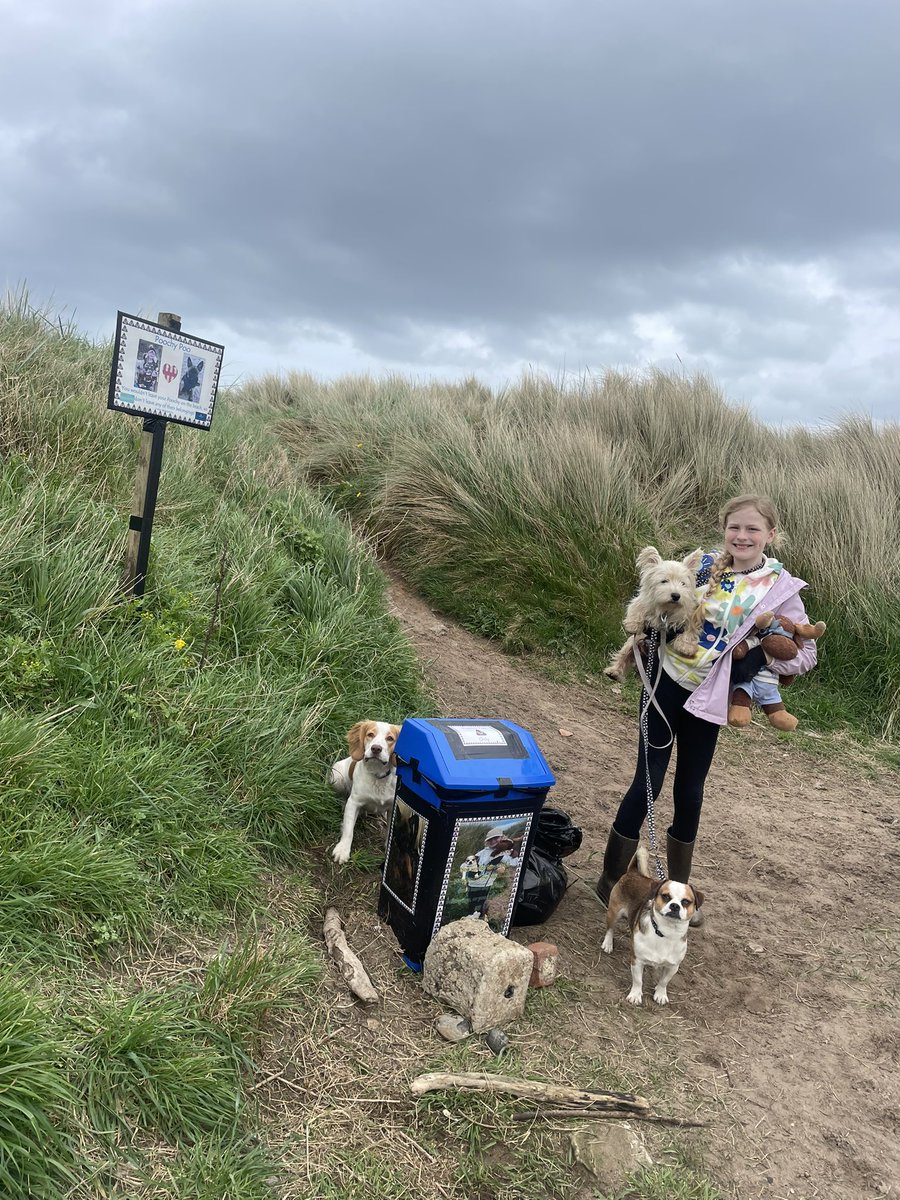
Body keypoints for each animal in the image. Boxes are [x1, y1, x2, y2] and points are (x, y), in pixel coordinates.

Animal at [607, 547, 705, 681]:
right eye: (664, 581)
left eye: (683, 583)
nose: (676, 595)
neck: (666, 610)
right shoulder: (644, 602)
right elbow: (637, 609)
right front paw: (632, 625)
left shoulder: (689, 613)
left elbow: (690, 629)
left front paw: (685, 646)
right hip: (633, 643)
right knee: (624, 654)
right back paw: (614, 671)